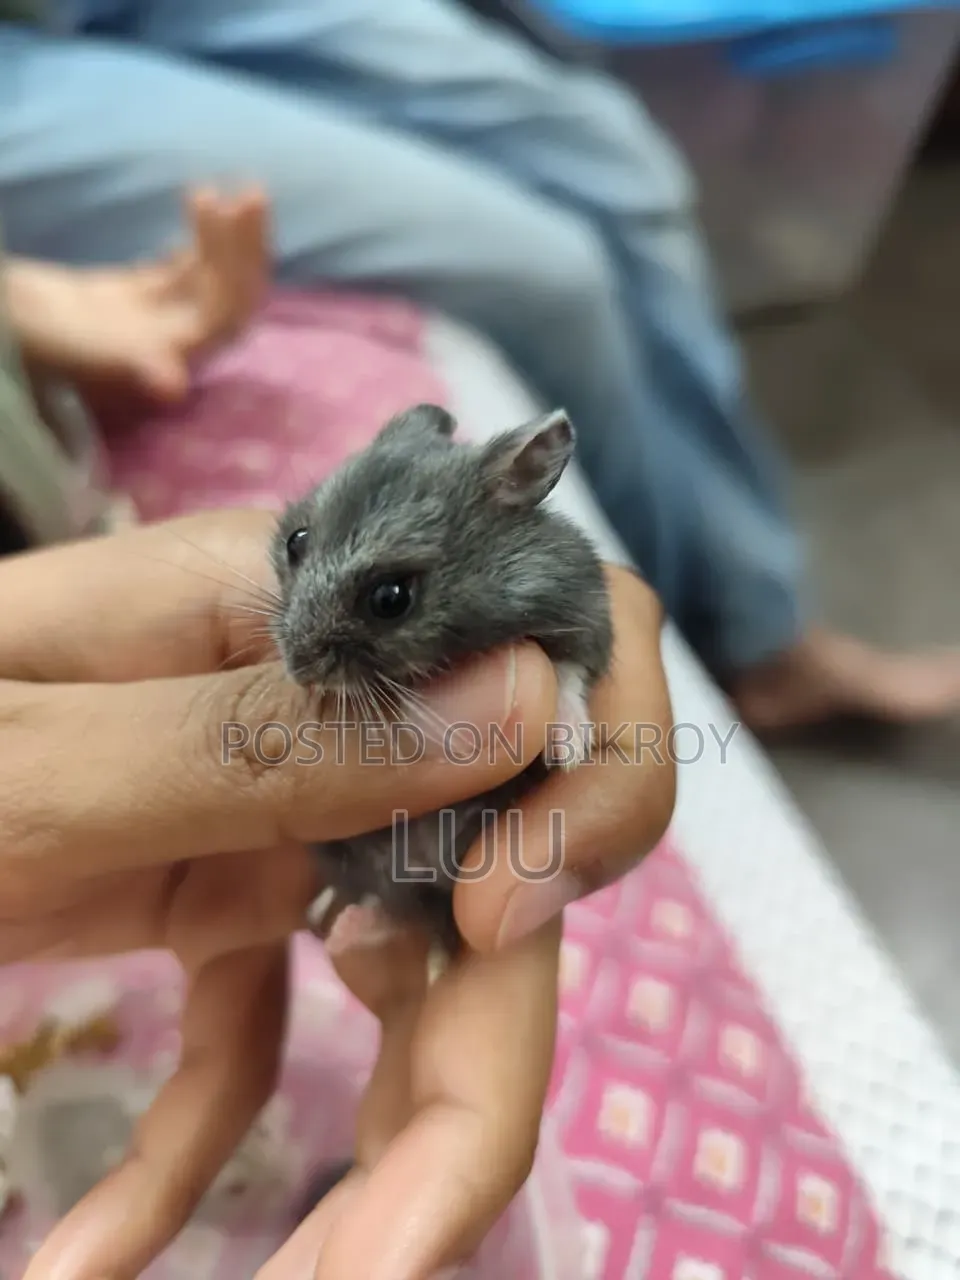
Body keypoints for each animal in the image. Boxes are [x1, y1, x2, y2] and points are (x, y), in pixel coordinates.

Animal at [270, 402, 613, 959]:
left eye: (391, 598)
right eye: (295, 542)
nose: (298, 672)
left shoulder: (585, 614)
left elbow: (567, 672)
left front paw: (568, 752)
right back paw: (341, 924)